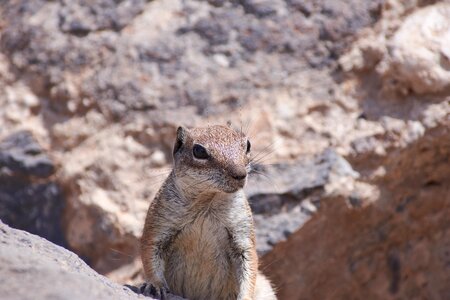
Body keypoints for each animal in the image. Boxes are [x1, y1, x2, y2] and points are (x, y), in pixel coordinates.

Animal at [141, 125, 276, 300]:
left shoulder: (242, 231)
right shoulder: (159, 222)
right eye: (199, 151)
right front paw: (156, 285)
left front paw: (246, 297)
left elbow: (250, 261)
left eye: (248, 145)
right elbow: (149, 251)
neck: (208, 201)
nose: (240, 174)